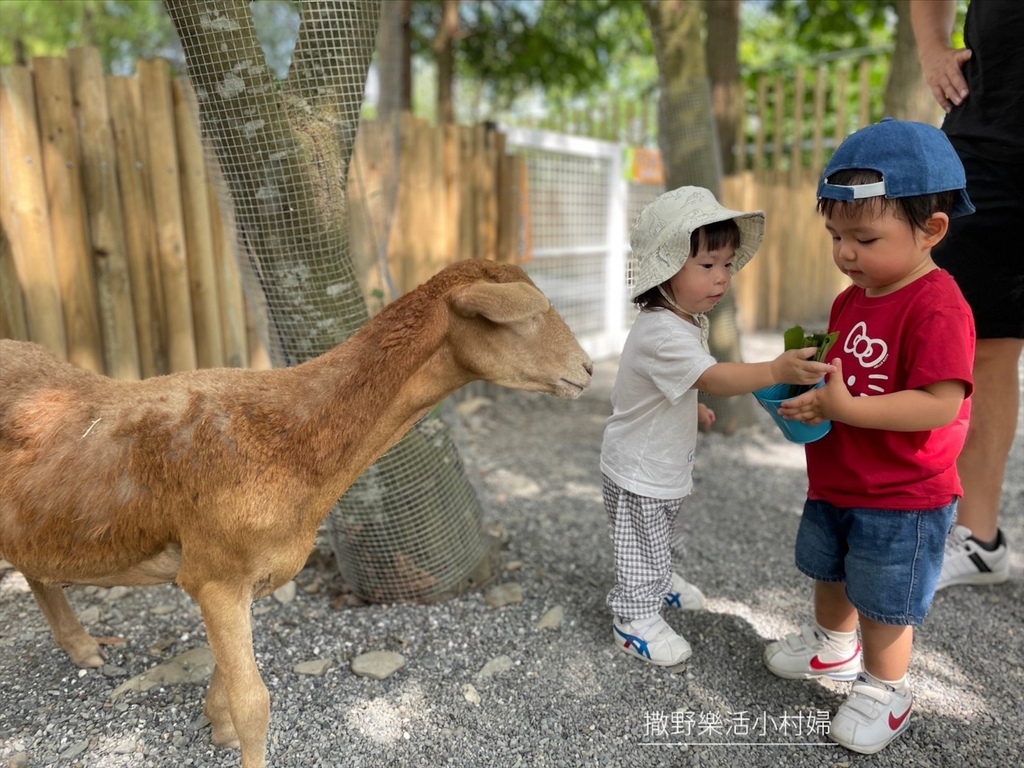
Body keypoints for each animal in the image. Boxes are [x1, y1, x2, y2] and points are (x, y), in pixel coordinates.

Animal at [0, 259, 593, 768]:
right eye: (527, 316)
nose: (587, 370)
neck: (295, 439)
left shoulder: (247, 577)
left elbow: (227, 677)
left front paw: (215, 727)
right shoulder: (214, 575)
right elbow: (254, 703)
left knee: (38, 570)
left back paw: (84, 650)